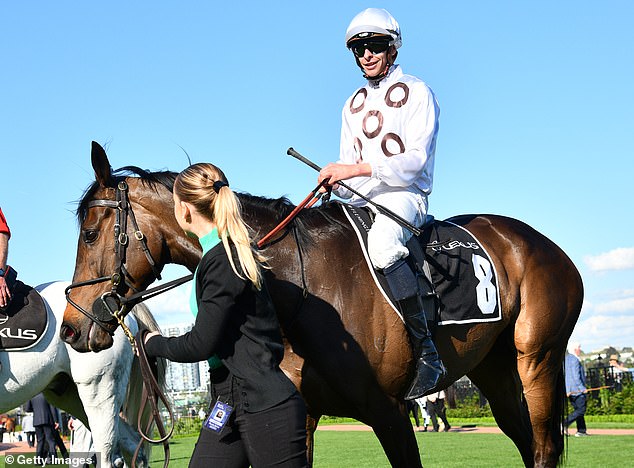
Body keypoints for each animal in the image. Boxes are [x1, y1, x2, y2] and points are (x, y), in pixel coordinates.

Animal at [60, 143, 584, 468]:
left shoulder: (389, 411)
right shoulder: (301, 415)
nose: (71, 328)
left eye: (89, 233)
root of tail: (543, 243)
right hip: (495, 369)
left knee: (543, 446)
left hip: (538, 358)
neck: (302, 284)